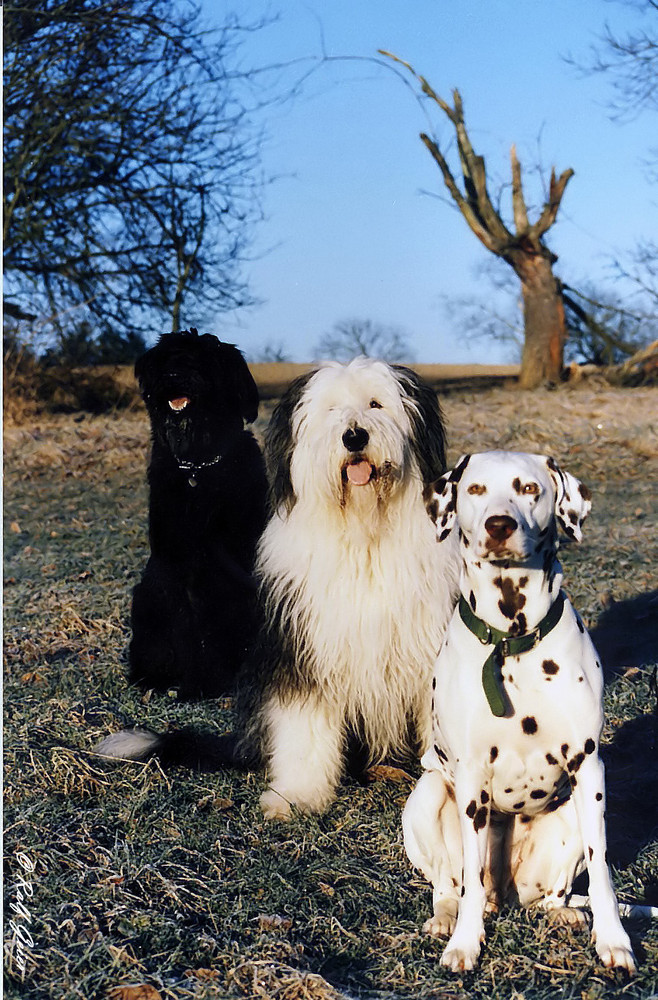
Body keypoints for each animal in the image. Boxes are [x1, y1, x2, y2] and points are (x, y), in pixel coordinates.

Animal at [128, 328, 266, 696]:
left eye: (202, 358)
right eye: (166, 358)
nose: (174, 376)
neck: (198, 467)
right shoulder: (177, 566)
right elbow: (188, 630)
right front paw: (197, 685)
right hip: (145, 596)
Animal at [241, 360, 456, 820]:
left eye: (376, 403)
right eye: (330, 409)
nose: (354, 436)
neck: (365, 535)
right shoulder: (304, 649)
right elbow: (303, 727)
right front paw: (296, 795)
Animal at [402, 454, 632, 976]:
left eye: (529, 488)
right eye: (475, 489)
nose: (499, 525)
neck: (511, 640)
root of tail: (506, 894)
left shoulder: (588, 767)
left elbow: (603, 873)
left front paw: (614, 941)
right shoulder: (470, 777)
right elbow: (468, 876)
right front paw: (465, 944)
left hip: (571, 819)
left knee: (553, 895)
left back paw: (564, 913)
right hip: (428, 794)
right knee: (450, 885)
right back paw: (447, 918)